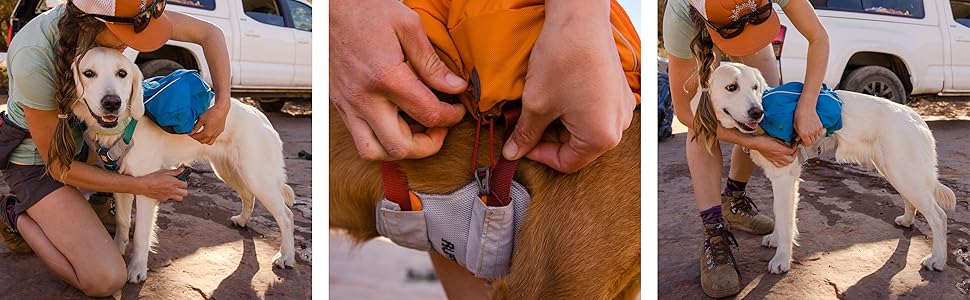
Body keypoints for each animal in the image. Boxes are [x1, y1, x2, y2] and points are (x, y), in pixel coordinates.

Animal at [72, 47, 294, 282]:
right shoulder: (122, 184)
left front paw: (137, 269)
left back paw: (286, 256)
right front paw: (117, 249)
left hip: (257, 178)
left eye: (122, 73)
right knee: (248, 196)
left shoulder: (146, 188)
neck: (123, 128)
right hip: (230, 172)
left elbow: (141, 234)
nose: (112, 103)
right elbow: (122, 223)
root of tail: (260, 115)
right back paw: (242, 220)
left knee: (286, 216)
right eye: (88, 73)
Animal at [688, 62, 952, 274]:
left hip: (904, 173)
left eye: (754, 87)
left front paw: (782, 259)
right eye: (731, 87)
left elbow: (785, 221)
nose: (757, 112)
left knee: (938, 216)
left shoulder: (785, 178)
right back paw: (907, 221)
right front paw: (775, 240)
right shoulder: (786, 181)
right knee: (912, 202)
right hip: (896, 171)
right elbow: (781, 216)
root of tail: (916, 116)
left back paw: (937, 260)